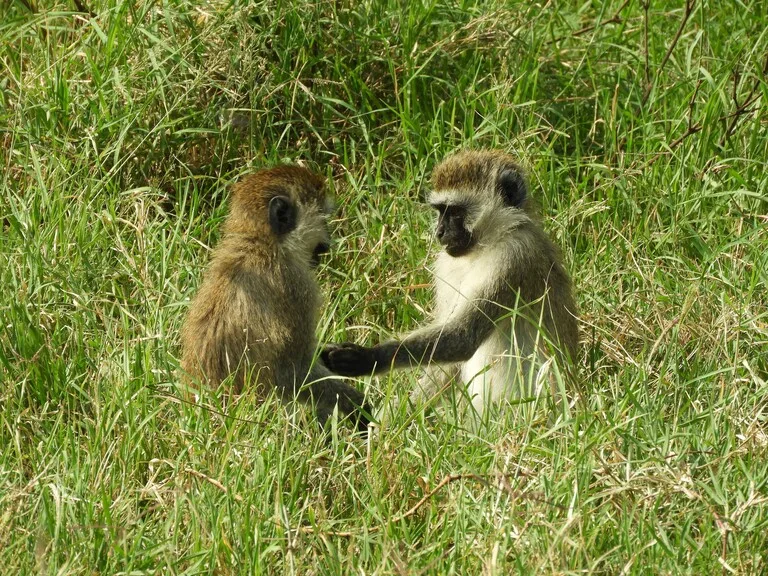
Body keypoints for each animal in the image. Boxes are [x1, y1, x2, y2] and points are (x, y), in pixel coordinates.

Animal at [182, 164, 370, 430]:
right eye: (323, 218)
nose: (330, 240)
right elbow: (292, 373)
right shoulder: (296, 286)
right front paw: (357, 406)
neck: (263, 244)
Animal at [320, 148, 580, 418]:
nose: (439, 233)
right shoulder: (446, 265)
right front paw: (390, 420)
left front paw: (366, 358)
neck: (485, 247)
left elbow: (464, 336)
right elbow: (448, 360)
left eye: (455, 212)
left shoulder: (513, 256)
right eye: (439, 211)